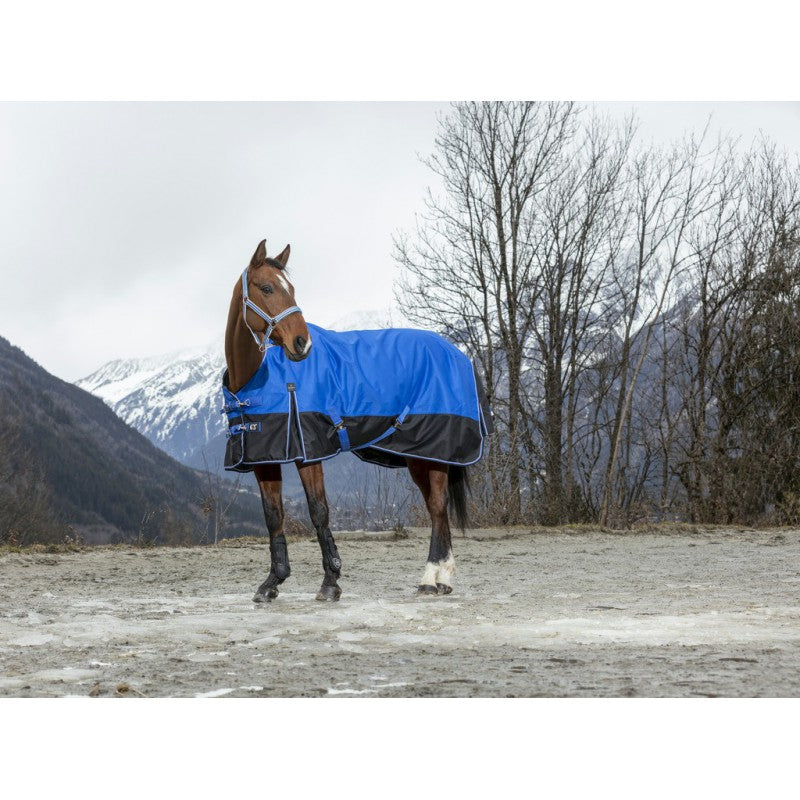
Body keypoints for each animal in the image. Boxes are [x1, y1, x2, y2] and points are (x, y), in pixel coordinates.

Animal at [222, 239, 490, 601]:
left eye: (291, 289)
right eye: (267, 288)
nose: (302, 343)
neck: (256, 378)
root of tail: (459, 355)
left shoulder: (310, 453)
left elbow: (319, 511)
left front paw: (330, 582)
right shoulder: (265, 457)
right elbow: (273, 516)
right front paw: (272, 582)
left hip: (434, 453)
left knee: (437, 506)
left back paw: (430, 578)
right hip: (417, 456)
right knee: (437, 507)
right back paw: (443, 579)